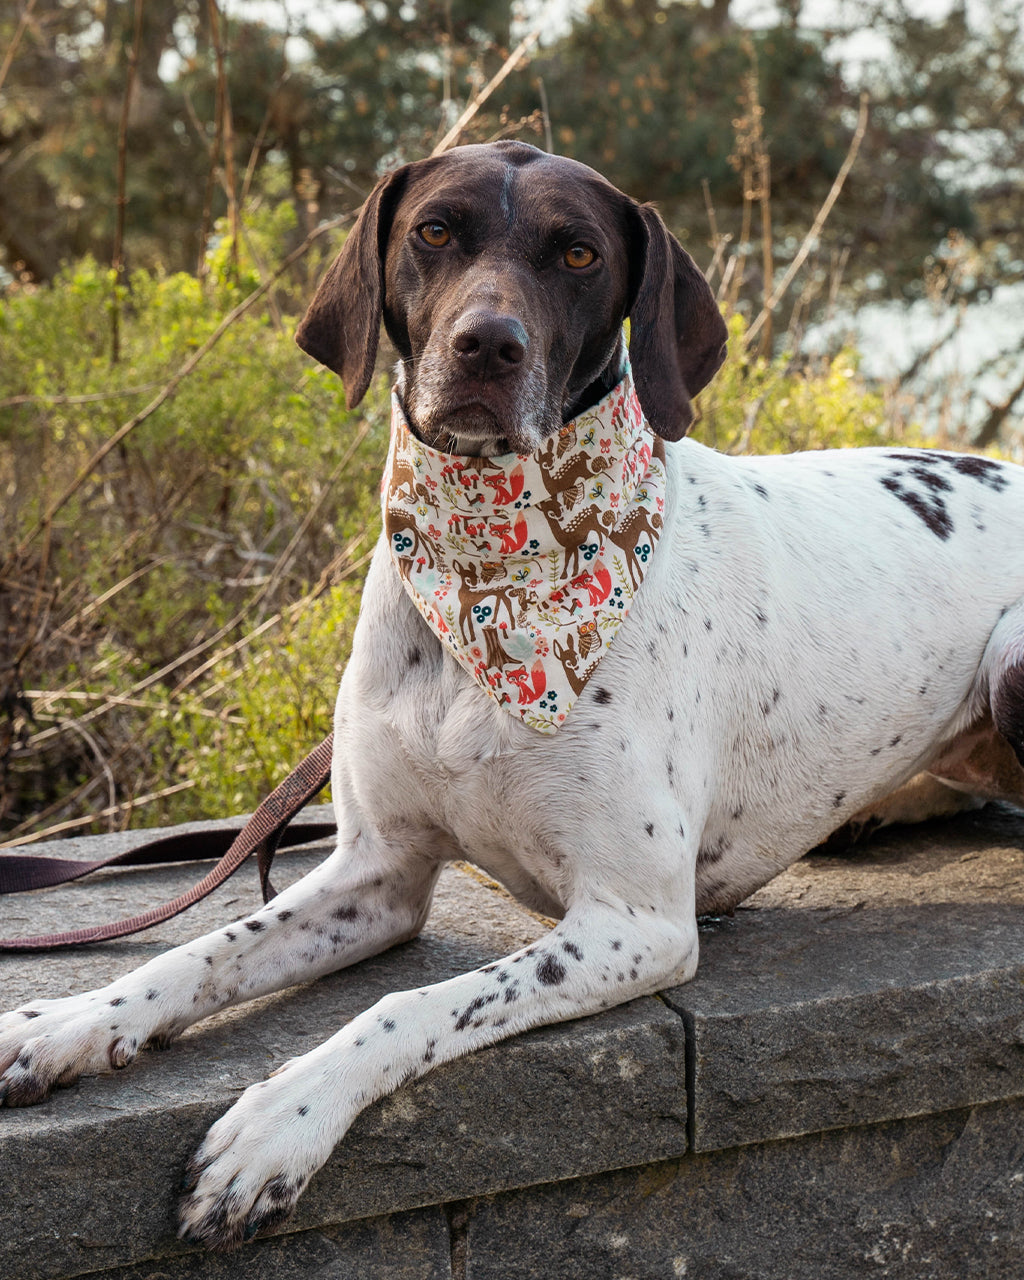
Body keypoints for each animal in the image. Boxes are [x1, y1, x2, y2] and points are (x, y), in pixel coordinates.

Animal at [6, 142, 1024, 1249]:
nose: (485, 344)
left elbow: (403, 1008)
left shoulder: (632, 922)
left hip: (1012, 654)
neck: (486, 571)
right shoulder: (377, 874)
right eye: (434, 231)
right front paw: (71, 1021)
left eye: (578, 252)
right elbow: (197, 953)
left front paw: (278, 1121)